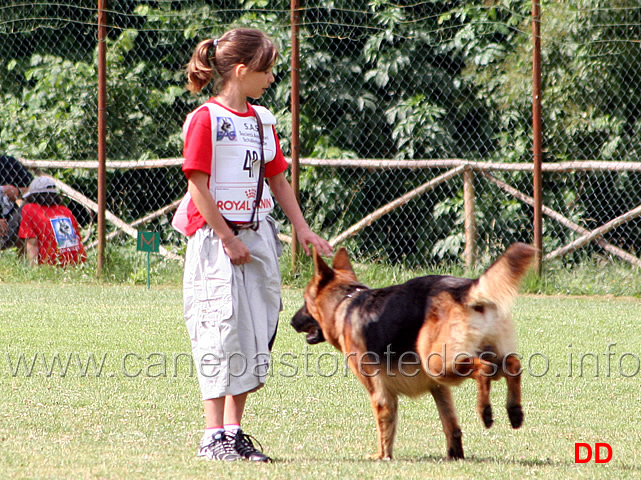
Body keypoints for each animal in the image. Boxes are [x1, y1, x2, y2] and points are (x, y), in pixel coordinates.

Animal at [290, 244, 536, 462]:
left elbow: (384, 429)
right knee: (512, 364)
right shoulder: (438, 388)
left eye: (305, 301)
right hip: (475, 359)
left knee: (484, 368)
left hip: (438, 365)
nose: (291, 321)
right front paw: (455, 454)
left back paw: (485, 410)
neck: (345, 302)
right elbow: (451, 425)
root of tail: (466, 290)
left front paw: (381, 456)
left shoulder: (380, 394)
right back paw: (514, 411)